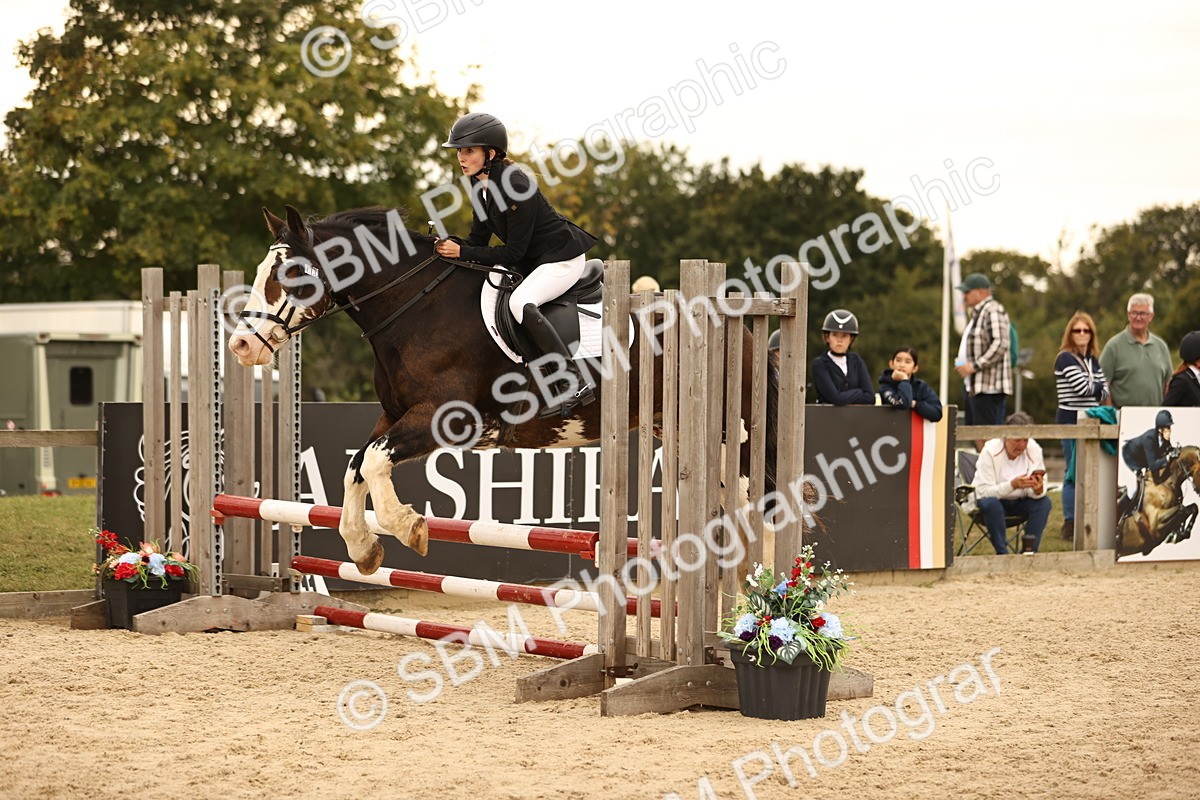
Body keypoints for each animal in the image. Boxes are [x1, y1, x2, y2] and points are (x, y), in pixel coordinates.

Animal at [228, 205, 780, 575]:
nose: (241, 345)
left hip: (734, 438)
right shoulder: (394, 415)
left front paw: (409, 527)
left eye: (290, 273)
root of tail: (741, 324)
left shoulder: (443, 418)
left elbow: (377, 462)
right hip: (681, 433)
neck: (415, 307)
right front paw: (365, 549)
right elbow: (356, 467)